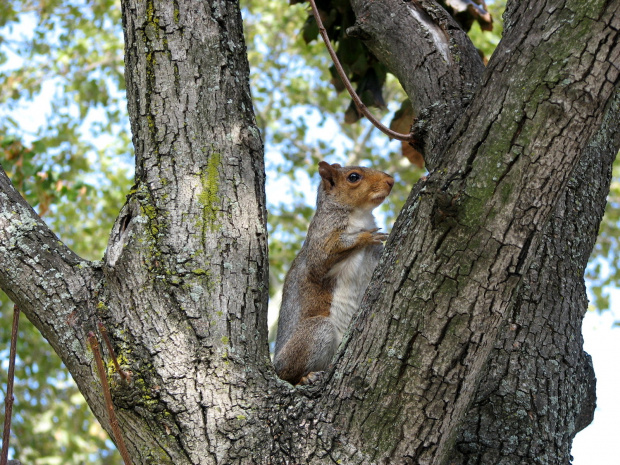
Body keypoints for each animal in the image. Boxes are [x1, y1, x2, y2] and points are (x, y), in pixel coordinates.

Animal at [274, 160, 394, 384]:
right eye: (353, 177)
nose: (391, 181)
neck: (359, 214)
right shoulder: (321, 236)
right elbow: (322, 259)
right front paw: (365, 236)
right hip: (315, 333)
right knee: (288, 375)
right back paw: (305, 377)